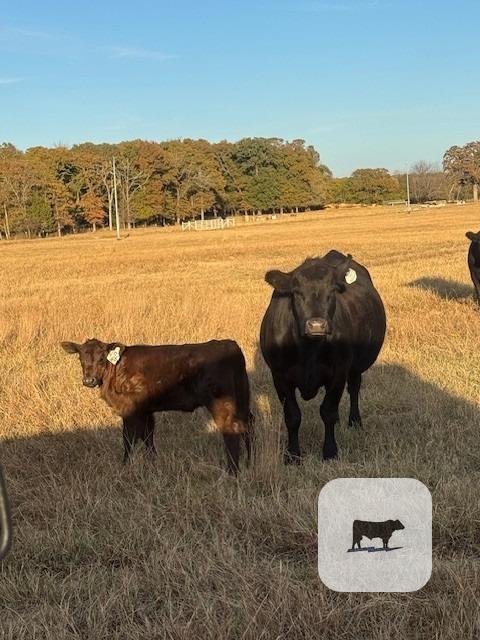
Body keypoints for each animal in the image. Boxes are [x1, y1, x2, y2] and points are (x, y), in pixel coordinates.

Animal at [61, 338, 253, 474]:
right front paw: (153, 462)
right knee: (248, 425)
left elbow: (128, 438)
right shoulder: (146, 410)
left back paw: (232, 472)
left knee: (231, 430)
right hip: (243, 397)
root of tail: (229, 344)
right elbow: (147, 436)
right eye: (80, 358)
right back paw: (250, 462)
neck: (115, 370)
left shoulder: (130, 409)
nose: (89, 380)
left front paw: (125, 466)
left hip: (221, 403)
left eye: (102, 358)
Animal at [259, 250, 386, 462]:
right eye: (296, 292)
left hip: (355, 367)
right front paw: (292, 454)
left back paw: (354, 421)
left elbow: (328, 411)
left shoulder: (339, 372)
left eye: (332, 291)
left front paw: (329, 451)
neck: (308, 350)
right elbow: (292, 416)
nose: (317, 325)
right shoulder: (279, 376)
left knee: (354, 389)